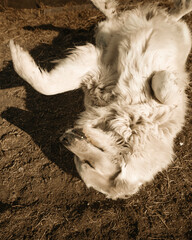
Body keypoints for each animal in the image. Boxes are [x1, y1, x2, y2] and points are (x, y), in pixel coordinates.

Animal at [9, 0, 192, 199]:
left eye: (87, 163)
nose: (64, 139)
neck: (124, 120)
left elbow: (163, 87)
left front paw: (168, 76)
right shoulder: (98, 72)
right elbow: (48, 87)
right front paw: (16, 54)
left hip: (184, 37)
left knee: (170, 17)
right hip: (106, 34)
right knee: (116, 17)